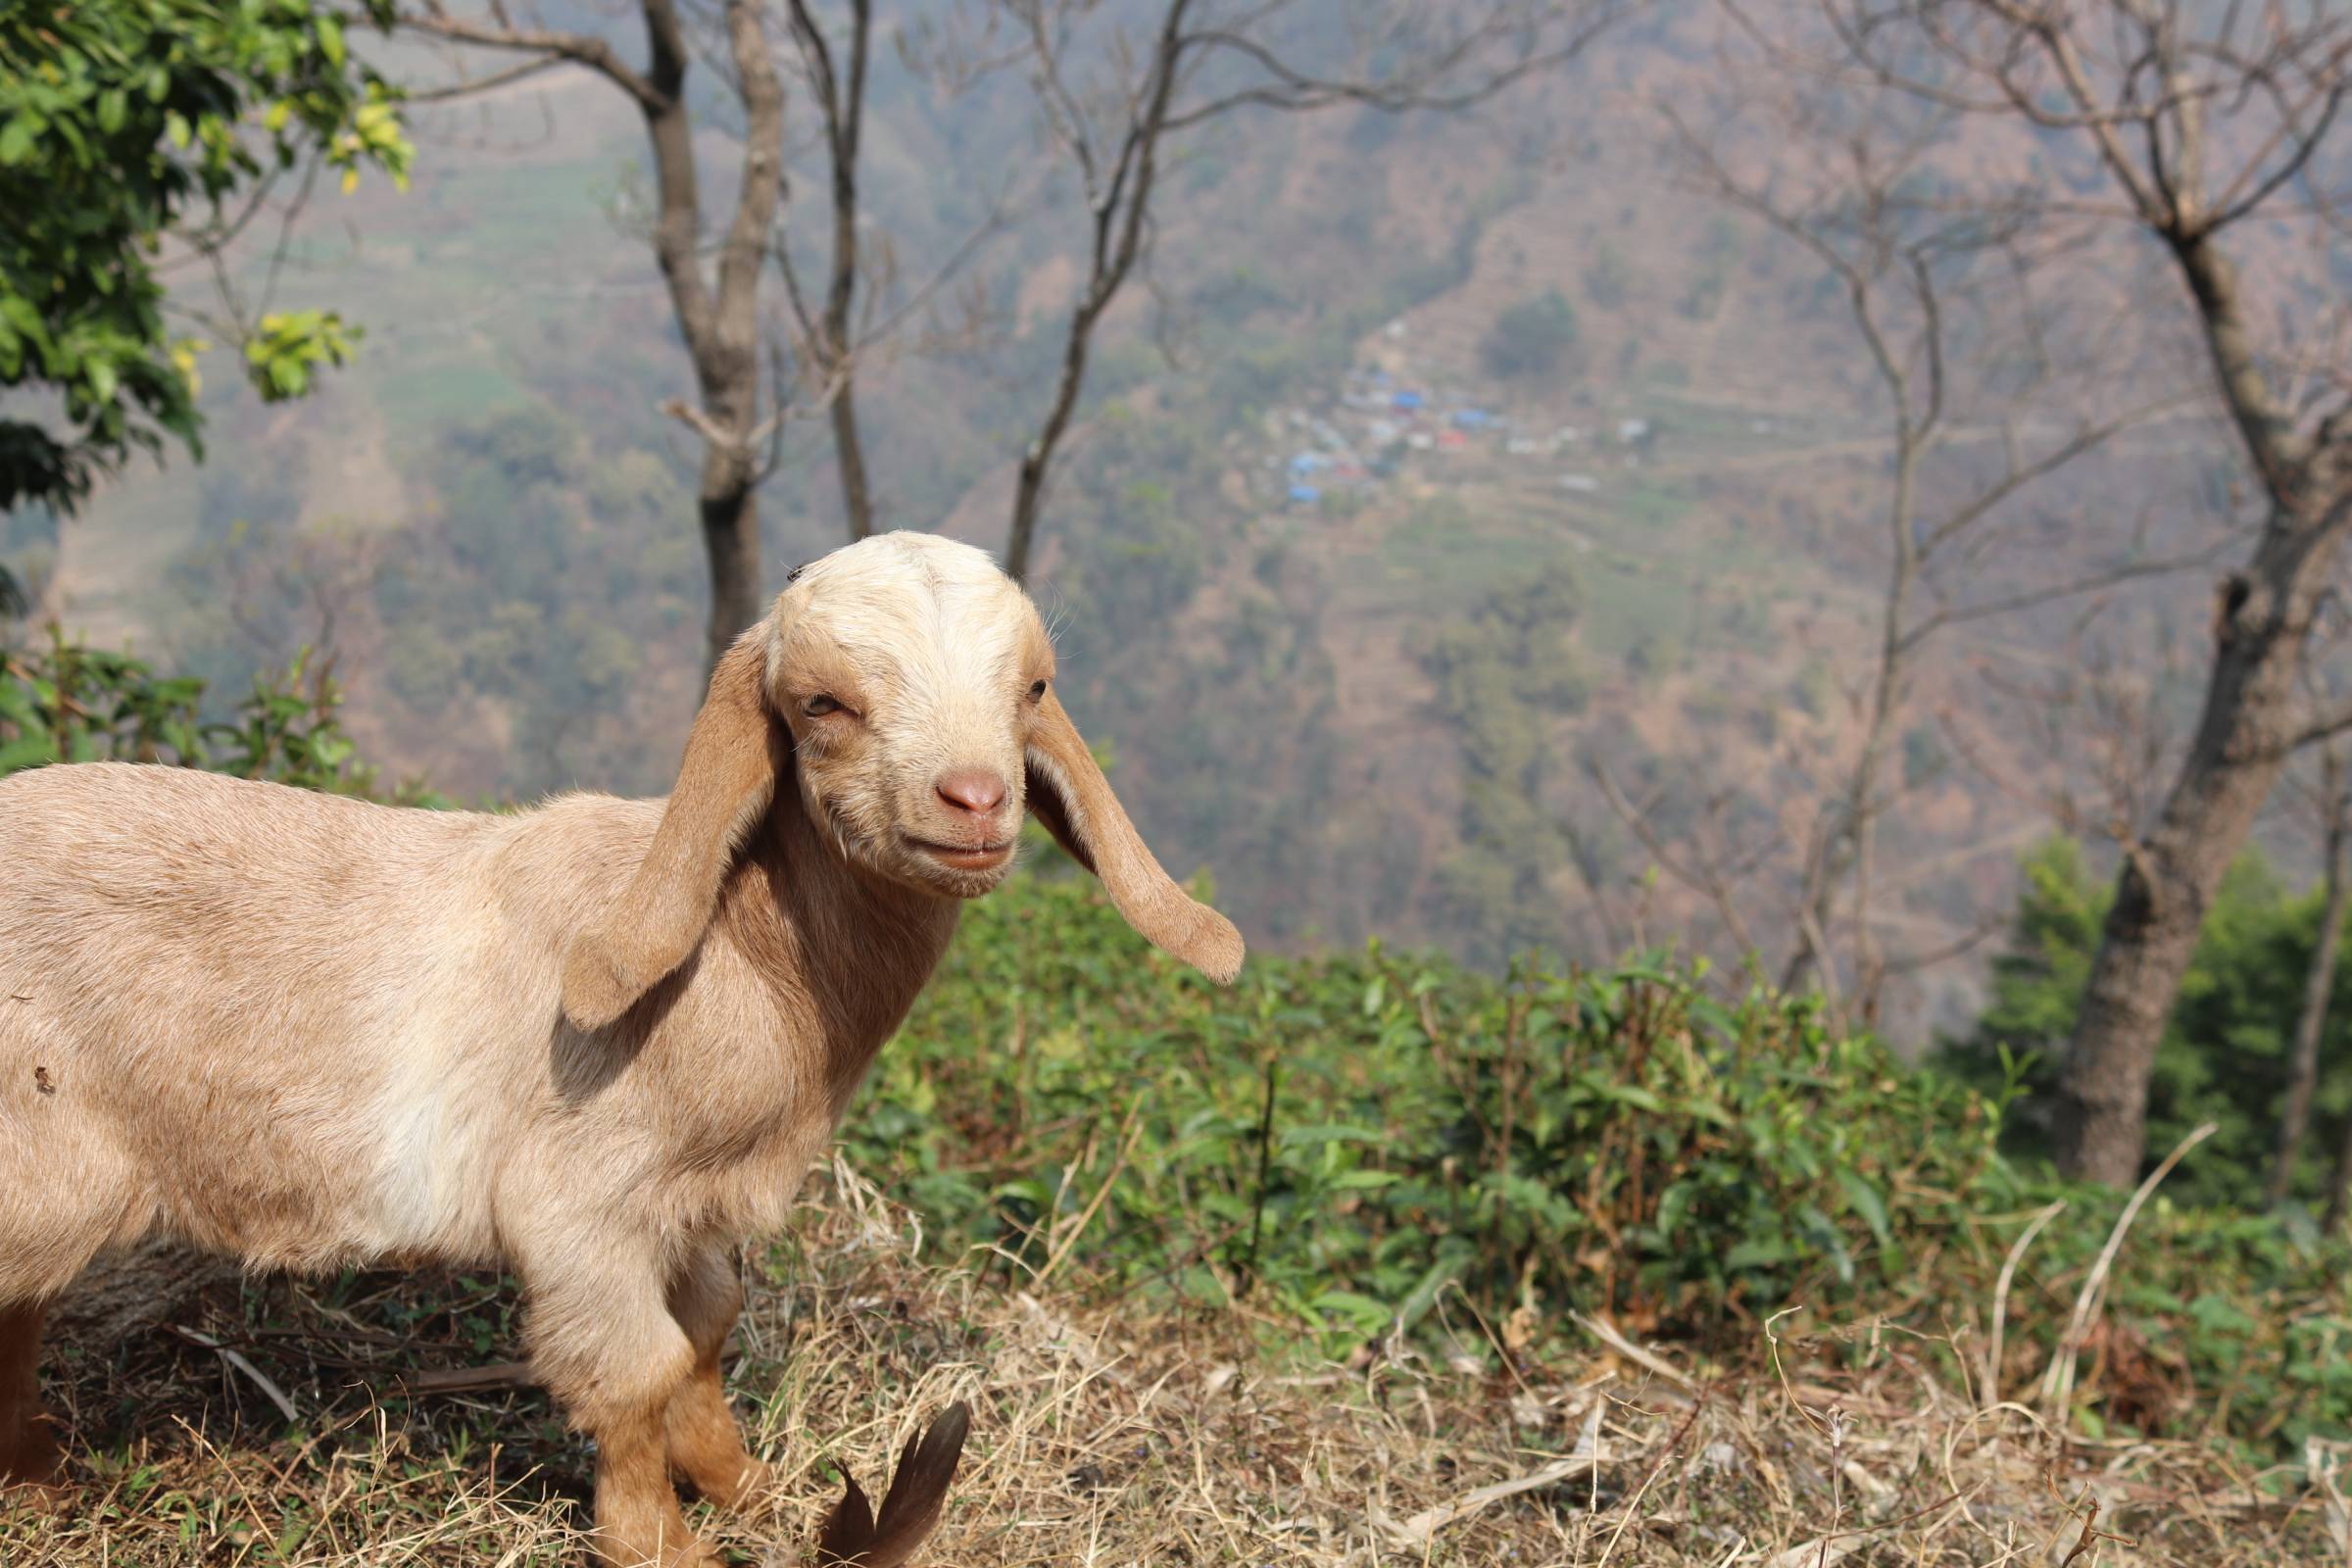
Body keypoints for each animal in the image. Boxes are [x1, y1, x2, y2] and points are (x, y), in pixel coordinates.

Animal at [0, 531, 1242, 1565]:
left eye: (1030, 687)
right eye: (825, 702)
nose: (975, 800)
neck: (743, 953)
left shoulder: (688, 1204)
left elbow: (707, 1331)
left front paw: (750, 1487)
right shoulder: (577, 1207)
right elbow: (633, 1369)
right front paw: (660, 1542)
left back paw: (39, 1480)